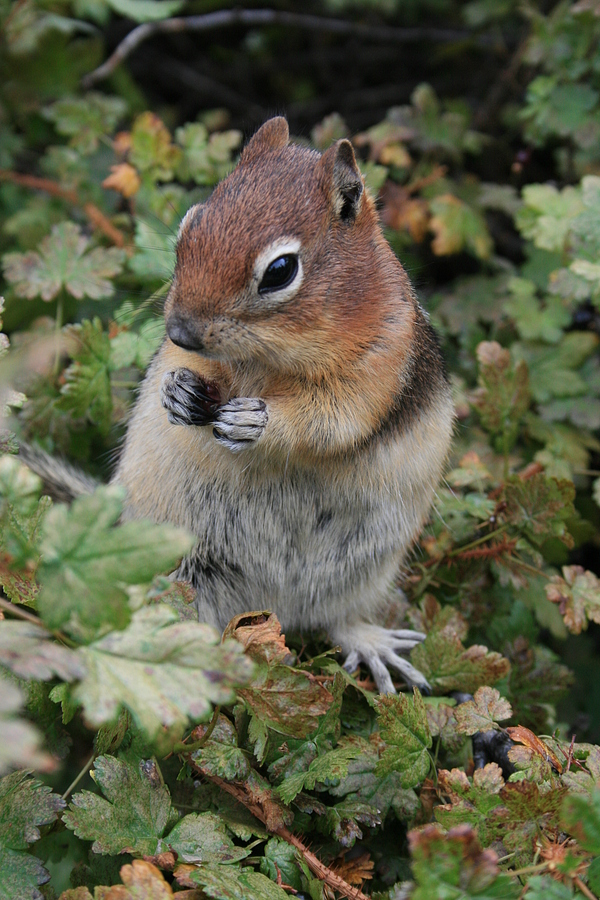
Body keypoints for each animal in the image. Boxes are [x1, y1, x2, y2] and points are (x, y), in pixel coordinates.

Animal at [23, 119, 458, 692]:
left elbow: (331, 420)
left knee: (336, 619)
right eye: (189, 224)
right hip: (183, 565)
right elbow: (180, 375)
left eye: (280, 270)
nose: (180, 330)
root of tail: (275, 608)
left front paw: (257, 421)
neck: (267, 359)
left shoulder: (379, 362)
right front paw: (177, 394)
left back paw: (372, 645)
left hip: (364, 572)